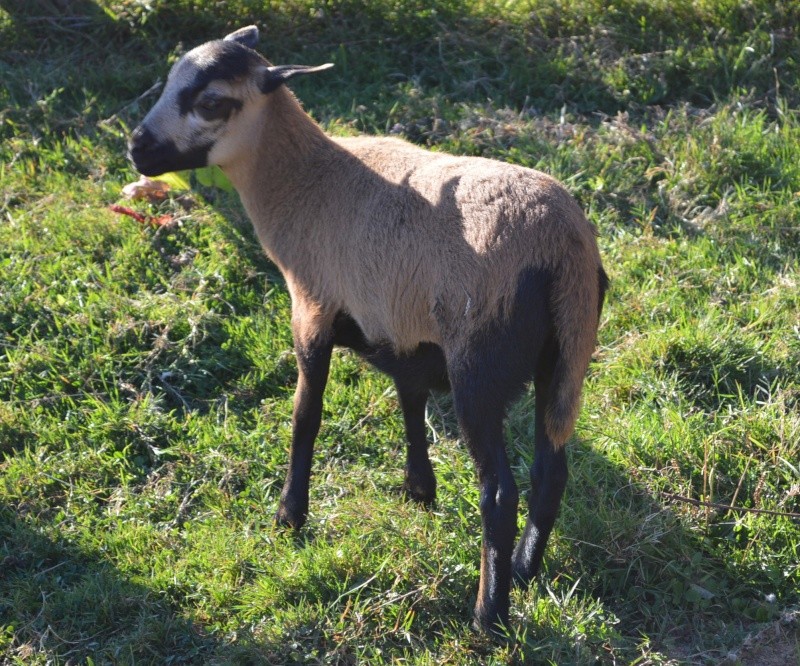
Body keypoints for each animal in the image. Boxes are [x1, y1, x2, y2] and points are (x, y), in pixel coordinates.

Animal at [130, 23, 608, 632]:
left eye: (212, 103)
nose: (137, 148)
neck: (305, 180)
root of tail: (563, 248)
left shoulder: (312, 309)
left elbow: (305, 418)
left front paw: (289, 516)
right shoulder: (403, 329)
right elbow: (410, 403)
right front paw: (419, 491)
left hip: (479, 365)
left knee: (500, 493)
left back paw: (487, 615)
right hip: (565, 355)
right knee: (551, 472)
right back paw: (523, 570)